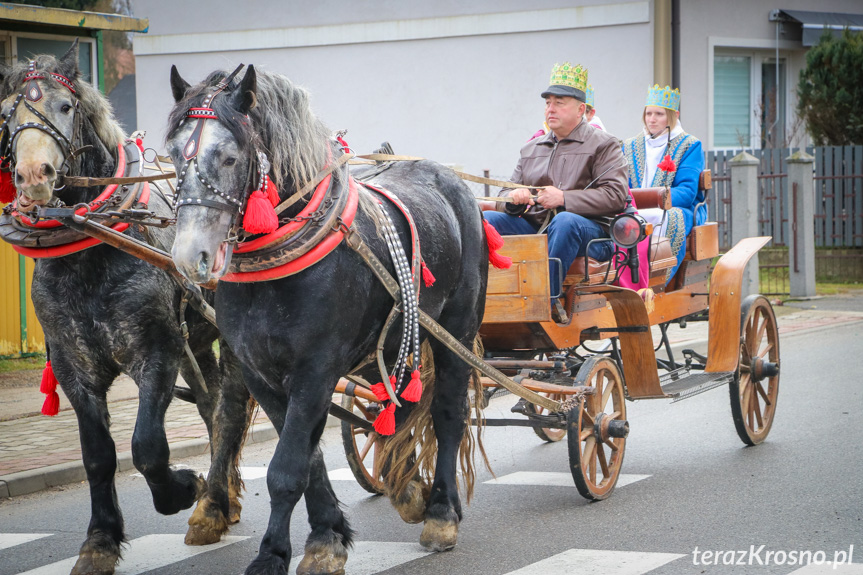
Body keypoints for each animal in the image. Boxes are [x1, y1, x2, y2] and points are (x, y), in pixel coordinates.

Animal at [1, 42, 253, 572]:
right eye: (6, 115)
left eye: (66, 106)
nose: (33, 176)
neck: (92, 245)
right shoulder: (74, 367)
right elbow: (98, 455)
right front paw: (99, 541)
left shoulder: (156, 352)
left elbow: (147, 447)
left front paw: (183, 488)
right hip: (196, 343)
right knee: (210, 404)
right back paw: (224, 499)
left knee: (230, 411)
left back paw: (211, 505)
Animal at [166, 64, 490, 575]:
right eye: (174, 155)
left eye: (231, 157)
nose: (188, 255)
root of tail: (450, 179)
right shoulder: (262, 374)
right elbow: (307, 458)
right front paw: (327, 535)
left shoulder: (315, 369)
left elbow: (285, 469)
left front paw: (278, 553)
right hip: (391, 344)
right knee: (392, 410)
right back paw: (407, 487)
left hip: (455, 329)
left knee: (447, 412)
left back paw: (440, 512)